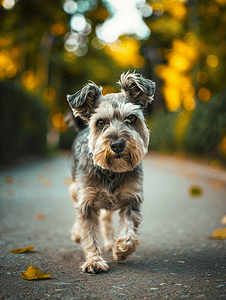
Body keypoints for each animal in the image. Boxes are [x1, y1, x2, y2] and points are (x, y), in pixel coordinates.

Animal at [66, 71, 156, 274]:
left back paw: (109, 242)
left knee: (106, 220)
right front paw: (94, 261)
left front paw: (120, 249)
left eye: (131, 118)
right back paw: (76, 233)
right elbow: (89, 233)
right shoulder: (86, 202)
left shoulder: (132, 197)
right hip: (75, 189)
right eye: (100, 122)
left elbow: (130, 232)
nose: (117, 145)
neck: (112, 171)